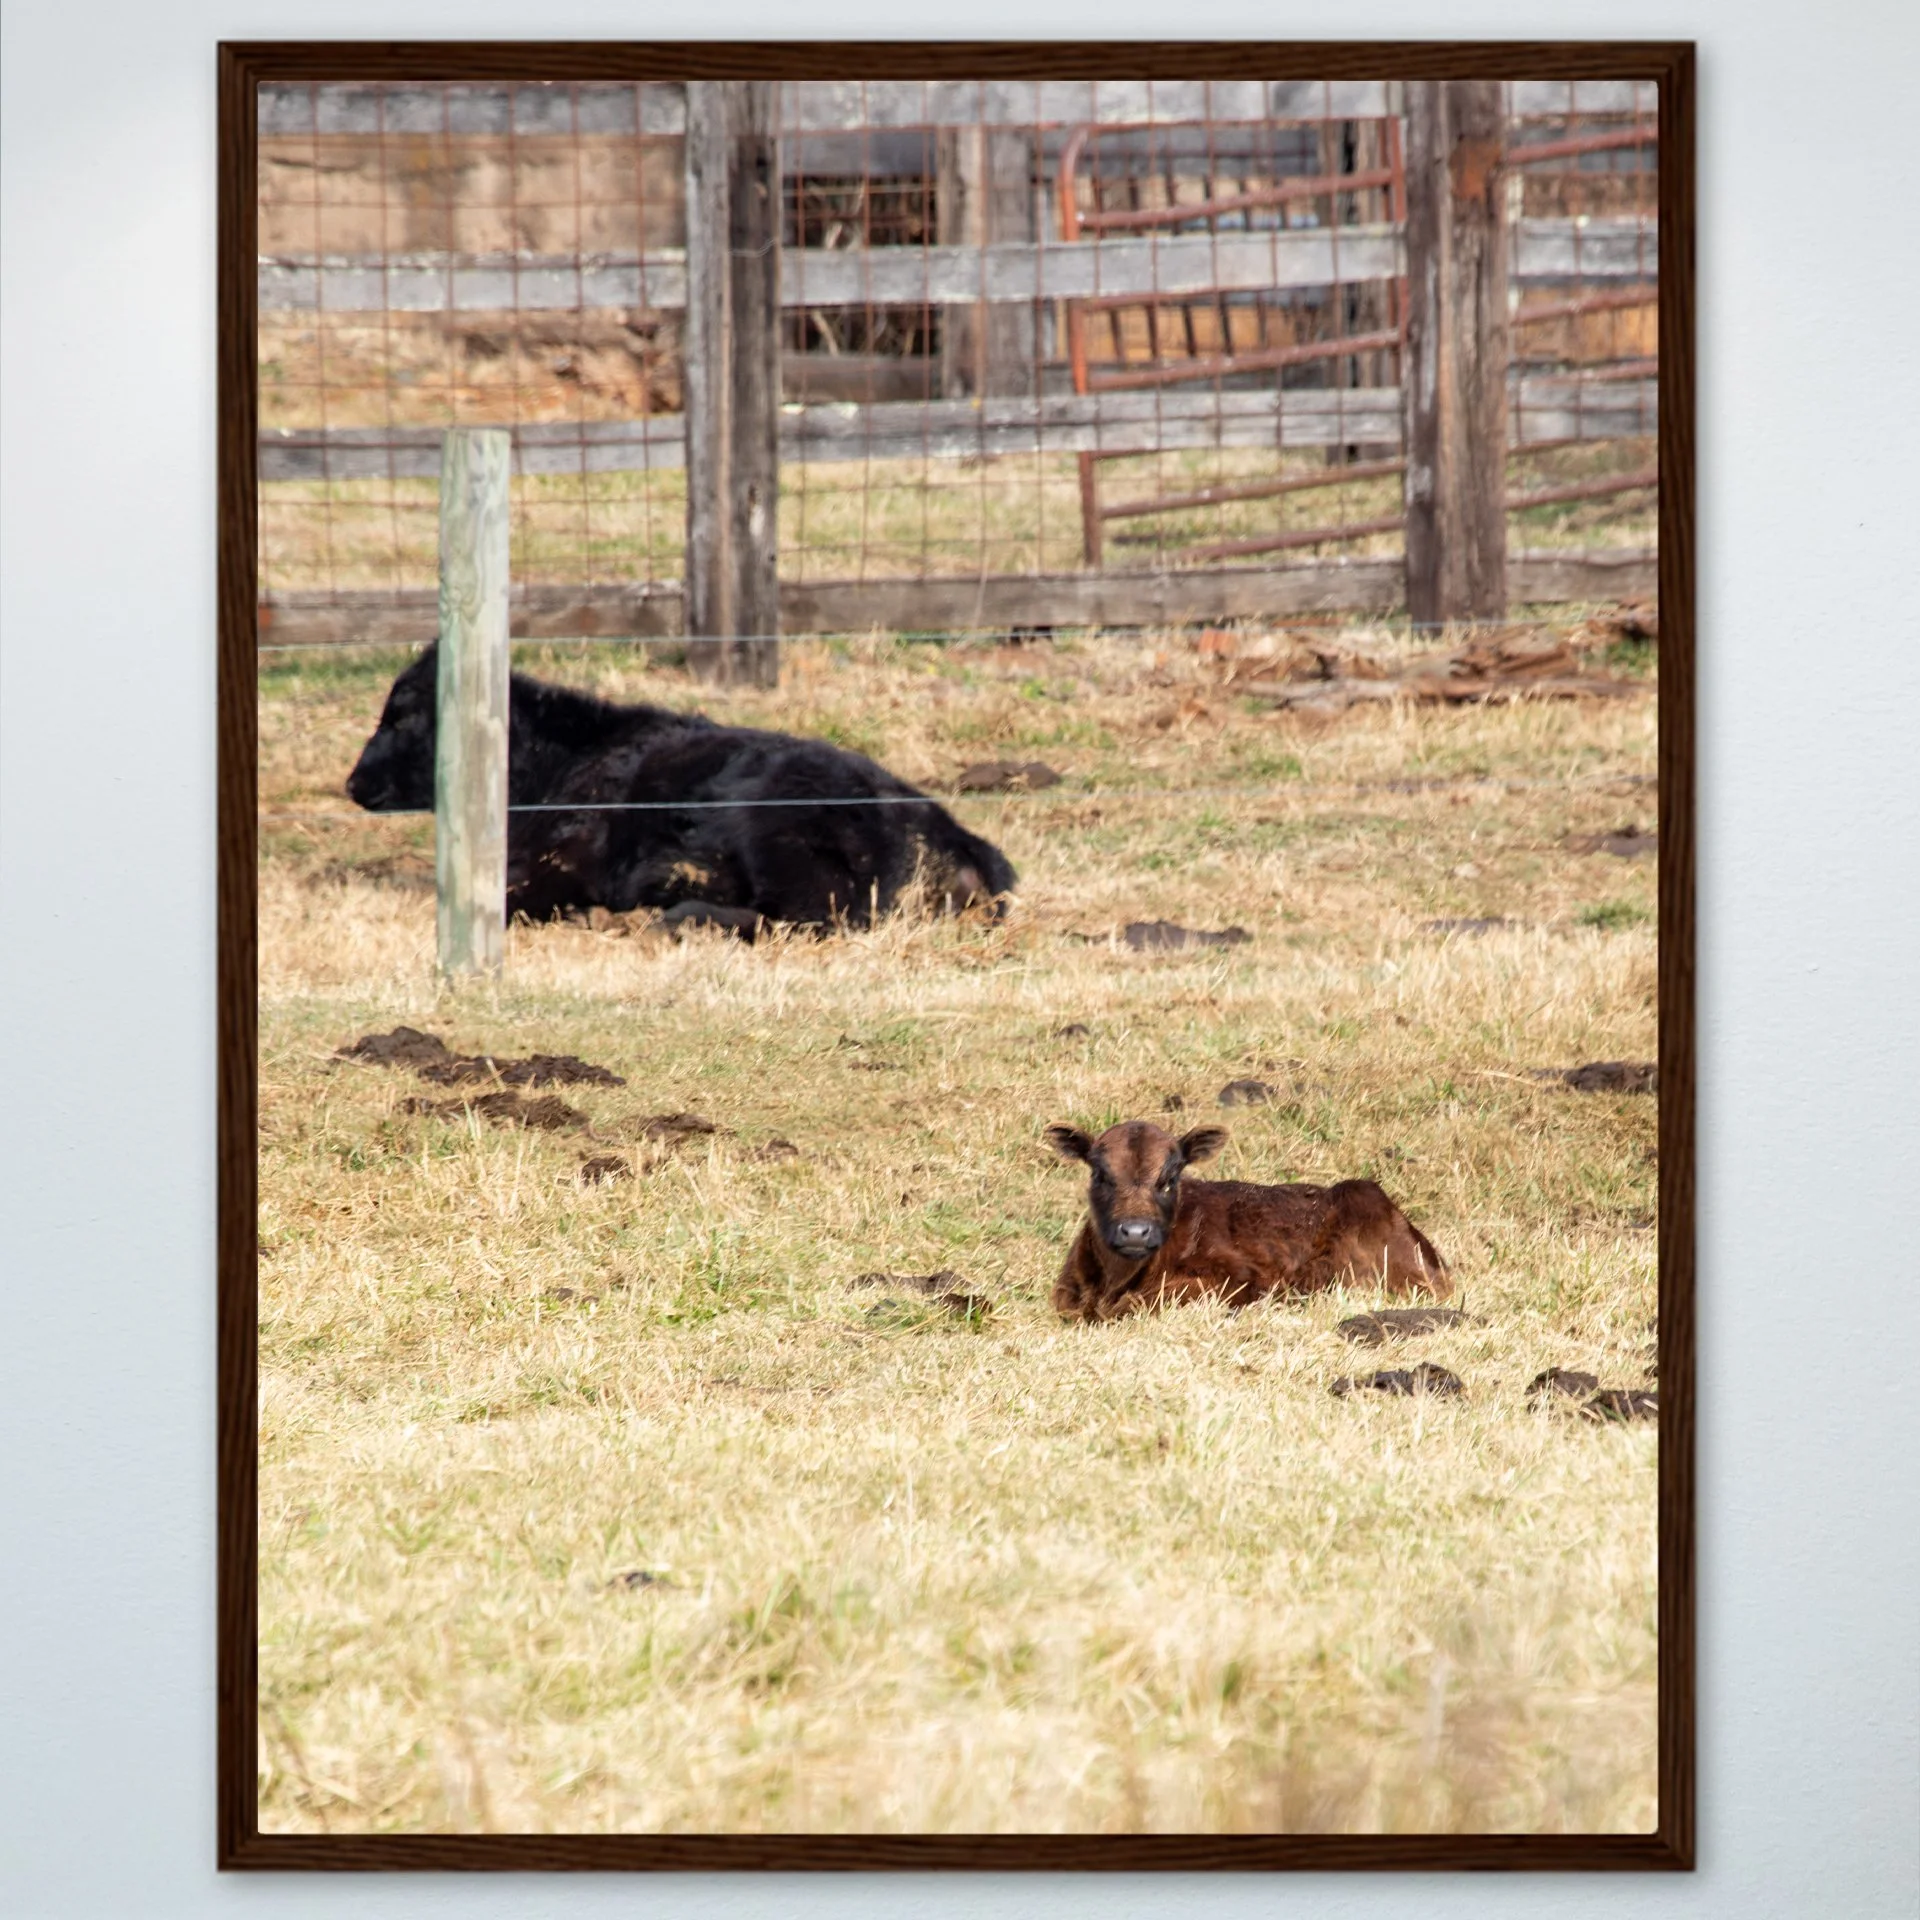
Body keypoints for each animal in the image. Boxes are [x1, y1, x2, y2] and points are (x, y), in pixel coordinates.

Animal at [345, 646, 1017, 930]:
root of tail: (952, 831)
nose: (353, 782)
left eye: (402, 714)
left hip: (780, 844)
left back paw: (670, 915)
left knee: (808, 919)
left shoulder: (556, 866)